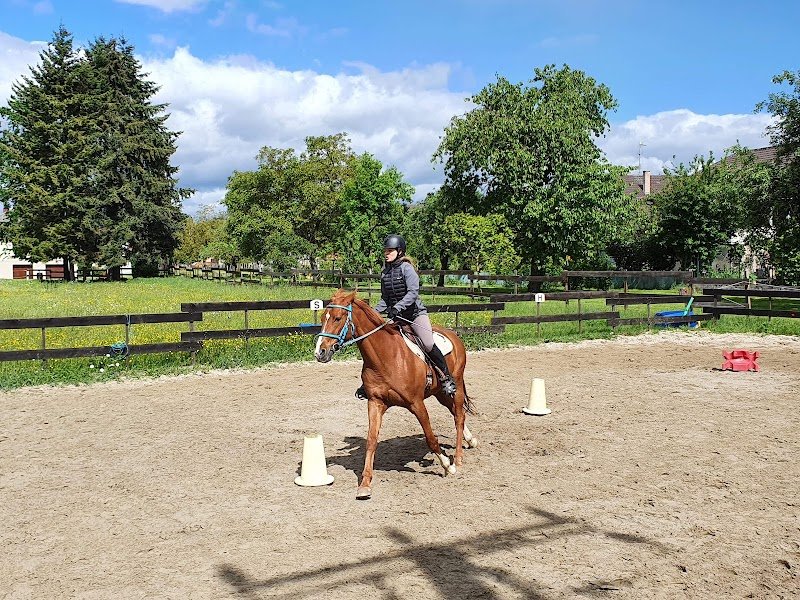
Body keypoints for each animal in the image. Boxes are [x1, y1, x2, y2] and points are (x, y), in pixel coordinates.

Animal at [314, 289, 478, 499]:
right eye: (322, 317)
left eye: (337, 318)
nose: (320, 352)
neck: (386, 357)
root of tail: (453, 335)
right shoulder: (375, 402)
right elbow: (371, 441)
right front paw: (365, 484)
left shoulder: (416, 403)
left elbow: (430, 438)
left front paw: (447, 466)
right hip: (440, 393)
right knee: (458, 413)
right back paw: (470, 440)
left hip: (454, 385)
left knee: (458, 417)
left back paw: (457, 458)